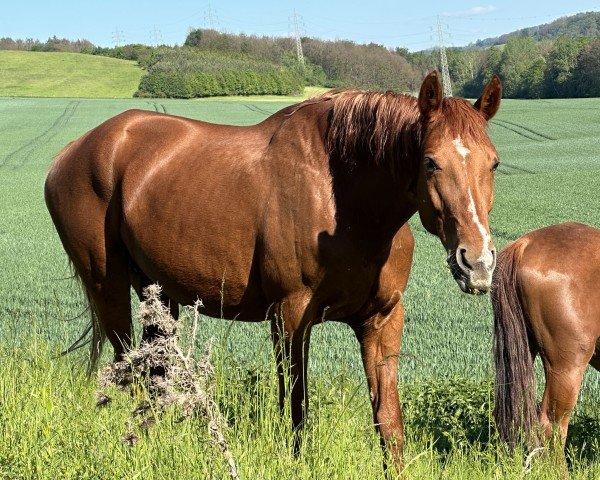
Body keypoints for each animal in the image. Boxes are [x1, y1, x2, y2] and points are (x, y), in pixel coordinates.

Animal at [44, 71, 502, 468]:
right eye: (430, 162)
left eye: (494, 163)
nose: (477, 262)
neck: (342, 202)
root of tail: (71, 152)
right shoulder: (290, 317)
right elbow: (297, 410)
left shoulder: (383, 320)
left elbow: (389, 423)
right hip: (108, 287)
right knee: (127, 371)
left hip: (157, 295)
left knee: (156, 376)